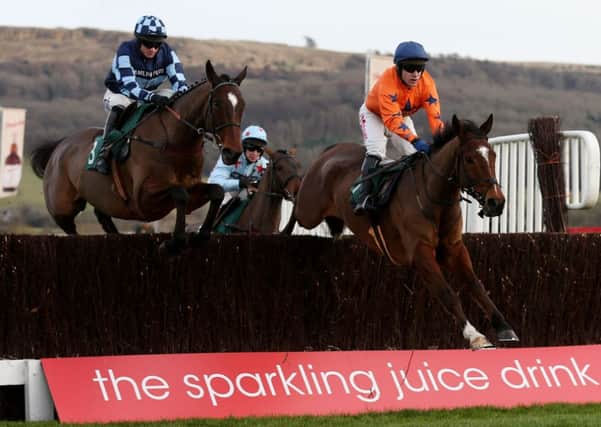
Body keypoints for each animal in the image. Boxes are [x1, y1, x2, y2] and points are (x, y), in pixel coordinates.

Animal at [29, 60, 246, 254]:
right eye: (217, 103)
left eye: (242, 105)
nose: (233, 152)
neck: (174, 141)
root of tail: (60, 145)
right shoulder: (143, 199)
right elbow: (179, 193)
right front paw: (173, 243)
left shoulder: (192, 187)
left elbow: (216, 191)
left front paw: (200, 236)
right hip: (62, 208)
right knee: (71, 229)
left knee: (102, 216)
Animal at [284, 115, 516, 350]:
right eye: (469, 159)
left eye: (493, 155)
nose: (496, 202)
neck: (432, 195)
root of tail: (329, 151)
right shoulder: (420, 252)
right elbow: (447, 293)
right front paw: (476, 336)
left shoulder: (454, 248)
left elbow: (476, 285)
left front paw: (505, 327)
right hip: (309, 211)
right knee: (297, 206)